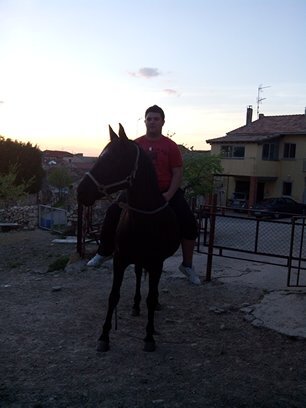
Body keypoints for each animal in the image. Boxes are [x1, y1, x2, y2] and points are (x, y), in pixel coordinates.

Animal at [77, 125, 180, 350]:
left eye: (113, 160)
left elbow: (151, 297)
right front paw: (104, 336)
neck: (144, 219)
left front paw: (149, 336)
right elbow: (113, 295)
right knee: (139, 276)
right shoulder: (120, 259)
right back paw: (135, 304)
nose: (80, 191)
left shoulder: (156, 263)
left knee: (151, 288)